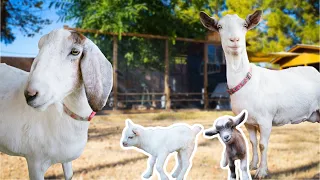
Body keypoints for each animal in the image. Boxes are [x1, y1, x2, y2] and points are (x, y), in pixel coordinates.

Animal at [200, 9, 320, 178]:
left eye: (244, 25)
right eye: (220, 26)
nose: (234, 40)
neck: (248, 82)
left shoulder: (265, 119)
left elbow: (263, 144)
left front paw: (262, 171)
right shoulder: (249, 122)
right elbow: (253, 142)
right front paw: (252, 165)